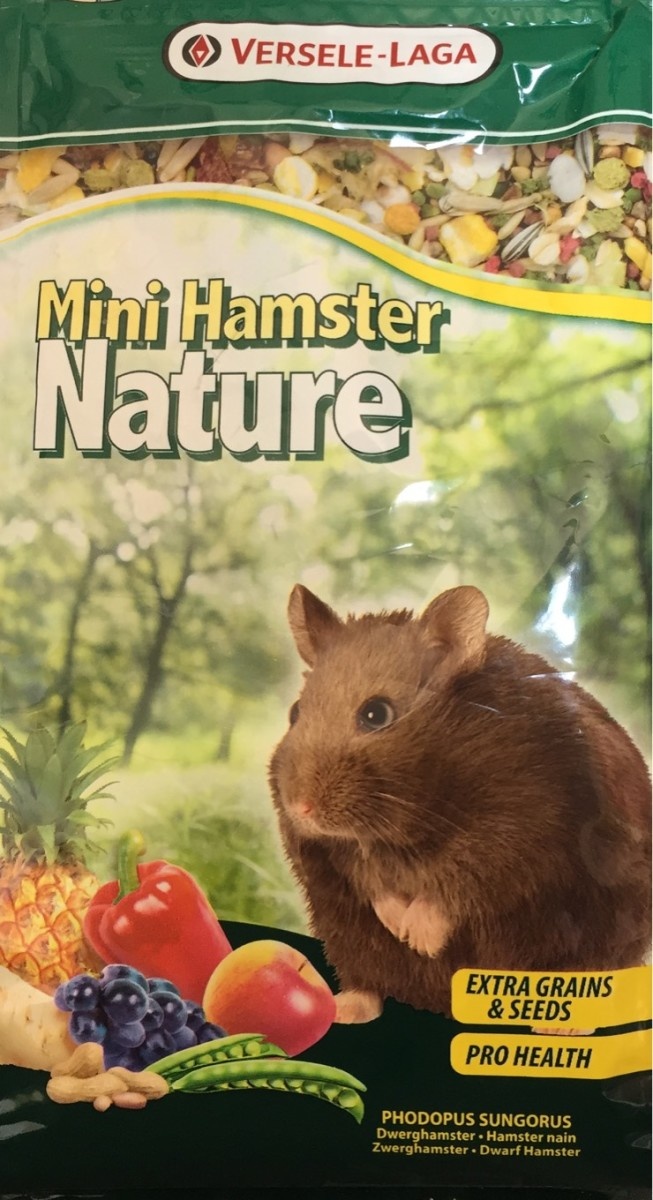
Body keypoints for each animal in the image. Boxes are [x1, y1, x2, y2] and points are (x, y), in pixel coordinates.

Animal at [268, 584, 651, 1023]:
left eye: (376, 714)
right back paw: (344, 1007)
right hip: (340, 929)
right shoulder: (335, 856)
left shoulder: (521, 825)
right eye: (295, 712)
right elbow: (366, 878)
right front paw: (399, 928)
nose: (299, 808)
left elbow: (462, 876)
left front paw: (419, 939)